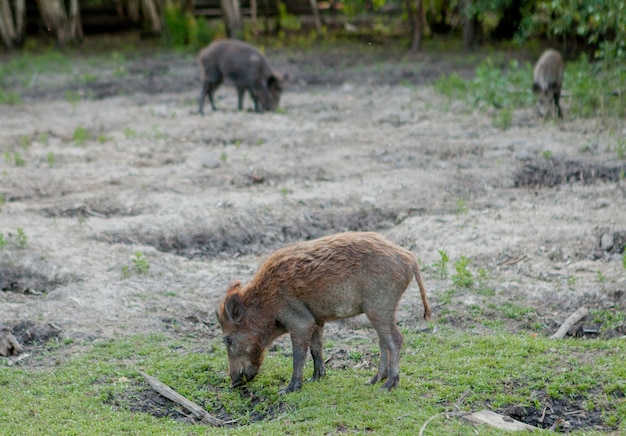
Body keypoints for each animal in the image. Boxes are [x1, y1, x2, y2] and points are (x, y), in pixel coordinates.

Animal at [217, 232, 432, 396]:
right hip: (381, 310)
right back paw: (372, 381)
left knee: (395, 340)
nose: (234, 382)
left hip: (380, 305)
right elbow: (316, 348)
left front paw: (287, 390)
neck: (265, 303)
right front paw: (315, 379)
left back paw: (386, 387)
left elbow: (298, 354)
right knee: (383, 341)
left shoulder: (299, 319)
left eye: (227, 339)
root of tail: (411, 259)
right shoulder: (317, 320)